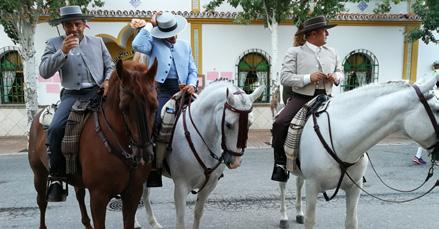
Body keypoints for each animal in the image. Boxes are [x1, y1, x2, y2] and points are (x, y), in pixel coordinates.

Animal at [28, 59, 158, 229]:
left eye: (154, 105)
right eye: (124, 107)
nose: (144, 155)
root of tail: (39, 115)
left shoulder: (133, 194)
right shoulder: (98, 196)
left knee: (79, 195)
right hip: (39, 173)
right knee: (42, 202)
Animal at [144, 79, 264, 229]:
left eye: (249, 123)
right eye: (228, 124)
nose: (235, 162)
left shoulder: (209, 186)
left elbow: (198, 213)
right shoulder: (181, 186)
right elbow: (181, 219)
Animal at [278, 74, 439, 229]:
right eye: (437, 110)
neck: (341, 139)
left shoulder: (354, 188)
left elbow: (351, 222)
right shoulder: (312, 187)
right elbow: (310, 222)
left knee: (299, 183)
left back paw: (299, 213)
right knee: (283, 186)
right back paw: (284, 217)